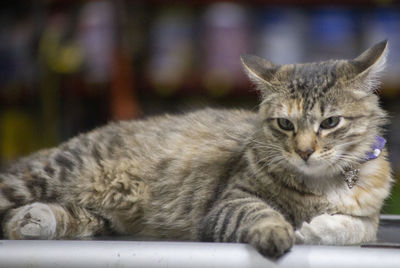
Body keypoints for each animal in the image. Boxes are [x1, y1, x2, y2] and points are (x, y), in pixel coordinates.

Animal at [0, 40, 394, 258]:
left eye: (330, 123)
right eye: (285, 124)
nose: (305, 151)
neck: (320, 183)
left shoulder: (369, 215)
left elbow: (357, 228)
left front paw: (316, 229)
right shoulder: (230, 201)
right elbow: (262, 214)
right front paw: (280, 232)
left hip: (100, 212)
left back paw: (35, 220)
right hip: (47, 175)